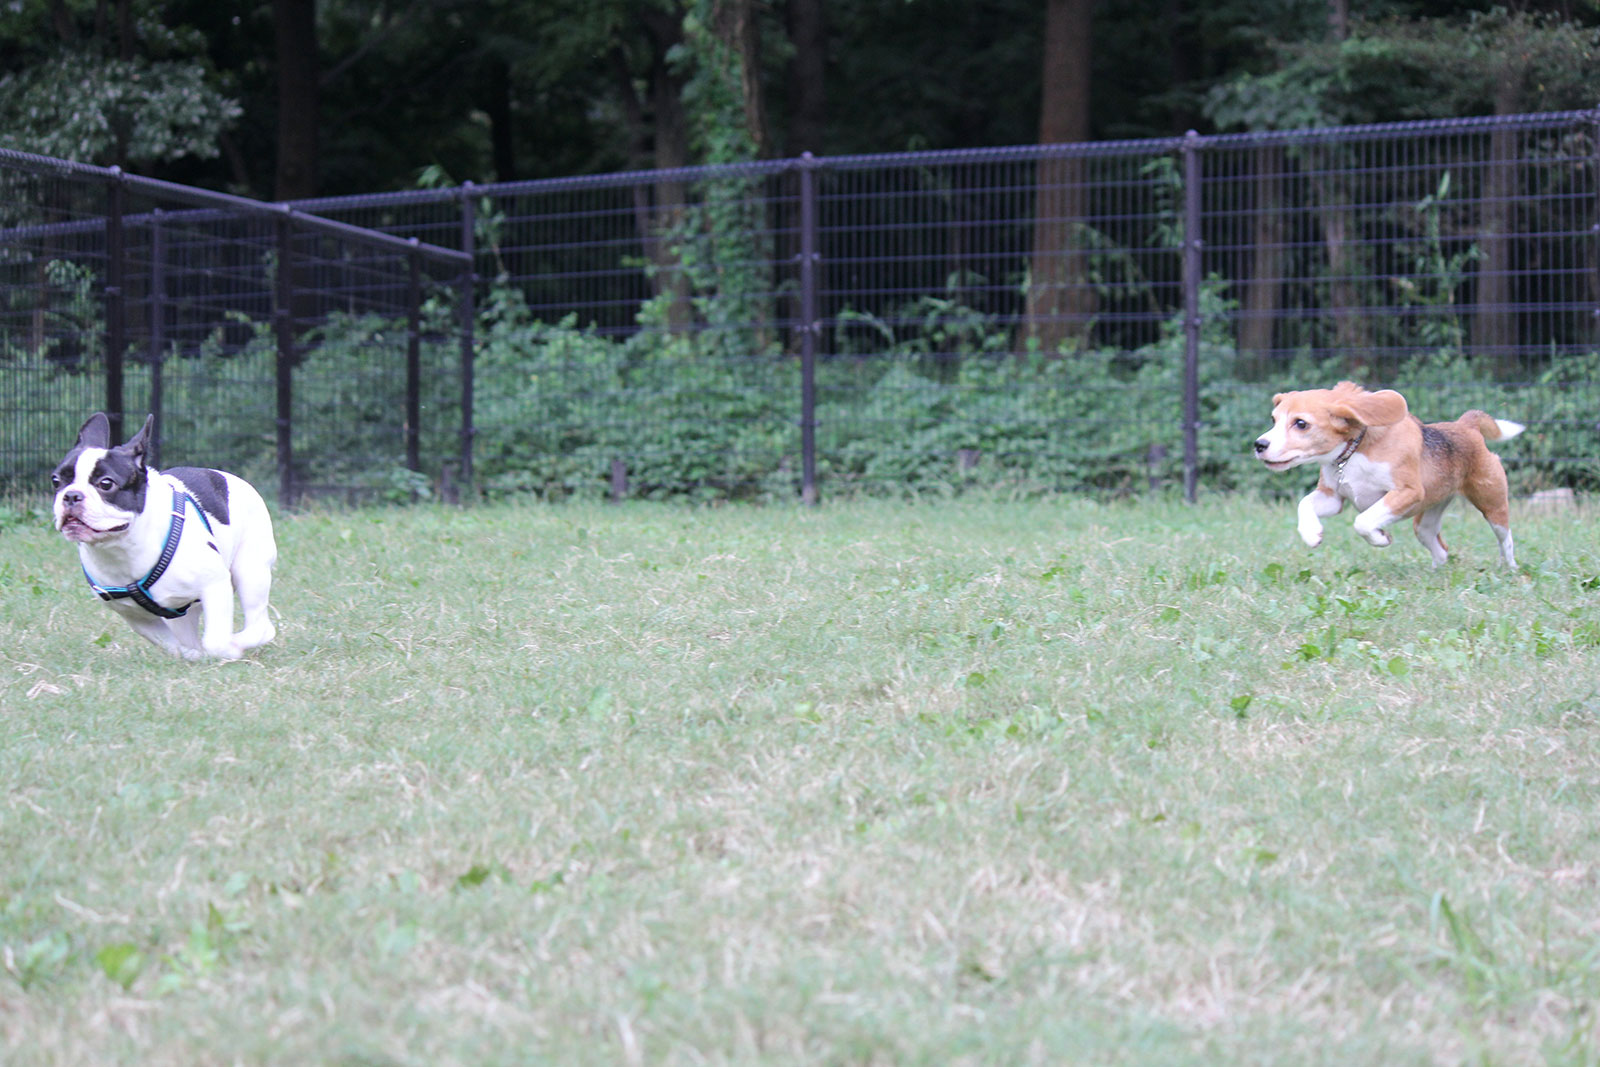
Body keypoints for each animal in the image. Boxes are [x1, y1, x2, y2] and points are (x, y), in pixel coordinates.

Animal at [52, 415, 278, 659]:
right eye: (55, 481)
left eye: (106, 483)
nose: (71, 495)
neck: (122, 547)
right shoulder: (137, 617)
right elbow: (174, 646)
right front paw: (193, 655)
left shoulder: (214, 583)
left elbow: (215, 642)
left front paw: (230, 649)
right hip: (184, 609)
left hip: (250, 571)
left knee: (261, 627)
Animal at [1248, 382, 1523, 566]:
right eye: (1273, 419)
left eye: (1301, 424)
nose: (1259, 445)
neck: (1354, 451)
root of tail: (1466, 425)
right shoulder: (1332, 497)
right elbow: (1304, 503)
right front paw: (1311, 533)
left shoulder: (1406, 492)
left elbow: (1362, 521)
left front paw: (1380, 538)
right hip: (1425, 522)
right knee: (1441, 549)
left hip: (1492, 503)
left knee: (1505, 538)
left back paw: (1509, 569)